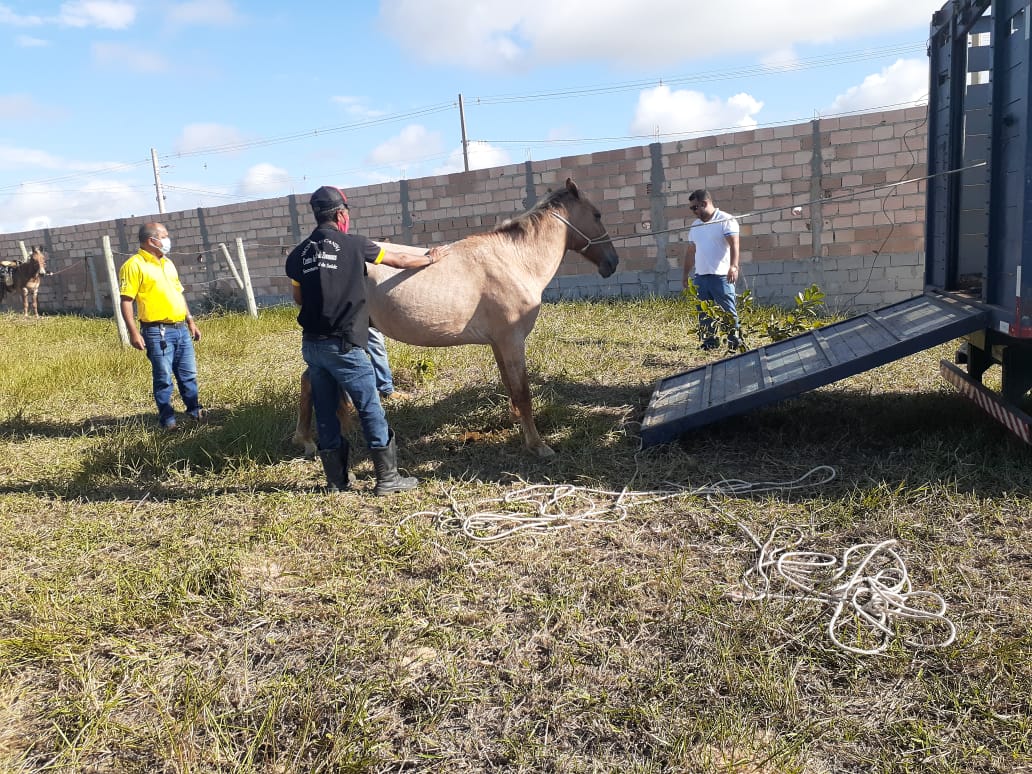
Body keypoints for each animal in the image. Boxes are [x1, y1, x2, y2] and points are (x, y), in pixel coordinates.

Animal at [295, 178, 619, 458]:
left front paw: (516, 422)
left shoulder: (499, 343)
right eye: (597, 214)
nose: (612, 263)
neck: (514, 261)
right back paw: (307, 442)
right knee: (312, 382)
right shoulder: (512, 341)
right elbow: (523, 391)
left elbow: (510, 385)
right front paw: (537, 445)